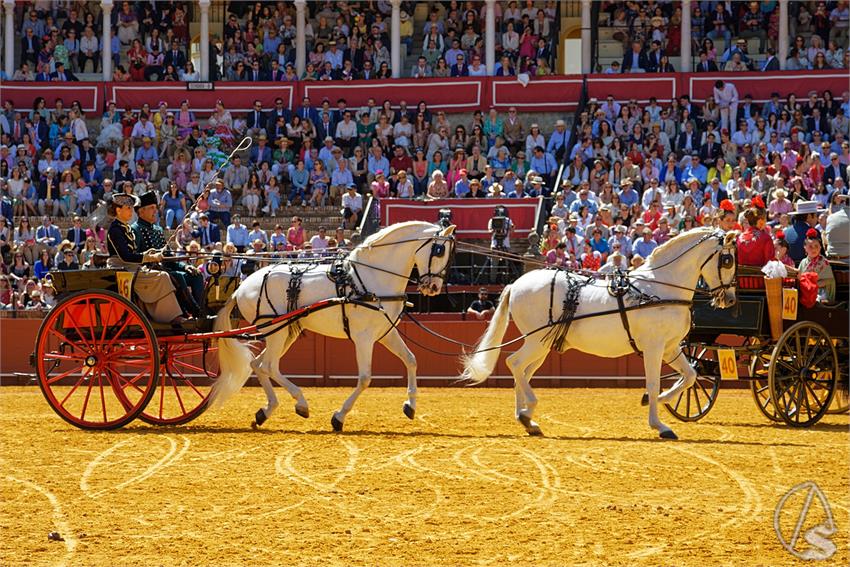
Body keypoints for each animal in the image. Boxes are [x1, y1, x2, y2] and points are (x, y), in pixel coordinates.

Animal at [210, 222, 454, 430]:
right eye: (439, 250)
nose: (433, 287)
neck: (372, 277)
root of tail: (241, 287)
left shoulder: (386, 333)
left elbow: (411, 360)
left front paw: (410, 405)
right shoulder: (363, 338)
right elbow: (365, 378)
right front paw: (339, 417)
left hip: (285, 332)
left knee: (259, 364)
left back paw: (266, 411)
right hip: (275, 331)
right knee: (269, 366)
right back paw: (301, 403)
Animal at [458, 226, 736, 440]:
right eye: (728, 260)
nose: (731, 299)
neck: (660, 287)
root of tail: (516, 284)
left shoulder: (670, 347)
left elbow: (690, 376)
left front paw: (659, 399)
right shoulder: (654, 347)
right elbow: (654, 382)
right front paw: (660, 424)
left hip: (542, 345)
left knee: (523, 372)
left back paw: (527, 419)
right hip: (536, 341)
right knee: (513, 363)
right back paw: (528, 410)